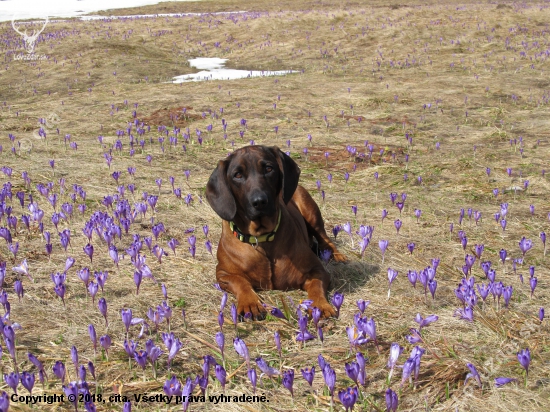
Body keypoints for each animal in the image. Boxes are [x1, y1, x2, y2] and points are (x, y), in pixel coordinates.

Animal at [207, 145, 344, 318]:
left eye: (268, 168)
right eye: (237, 175)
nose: (259, 202)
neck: (261, 239)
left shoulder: (317, 270)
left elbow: (316, 285)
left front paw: (319, 305)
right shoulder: (222, 273)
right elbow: (239, 281)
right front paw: (250, 303)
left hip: (309, 209)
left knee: (324, 238)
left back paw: (337, 255)